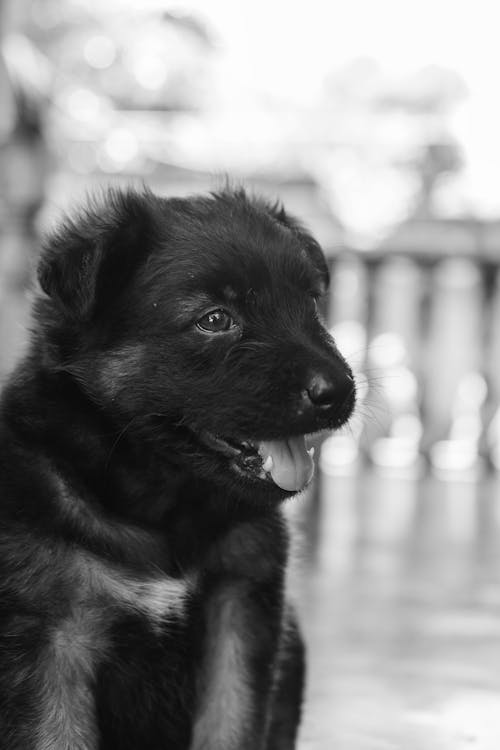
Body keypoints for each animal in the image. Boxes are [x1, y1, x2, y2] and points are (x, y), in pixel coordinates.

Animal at [0, 185, 356, 748]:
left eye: (310, 303)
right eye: (214, 319)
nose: (337, 391)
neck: (166, 504)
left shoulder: (239, 608)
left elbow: (232, 726)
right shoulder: (54, 638)